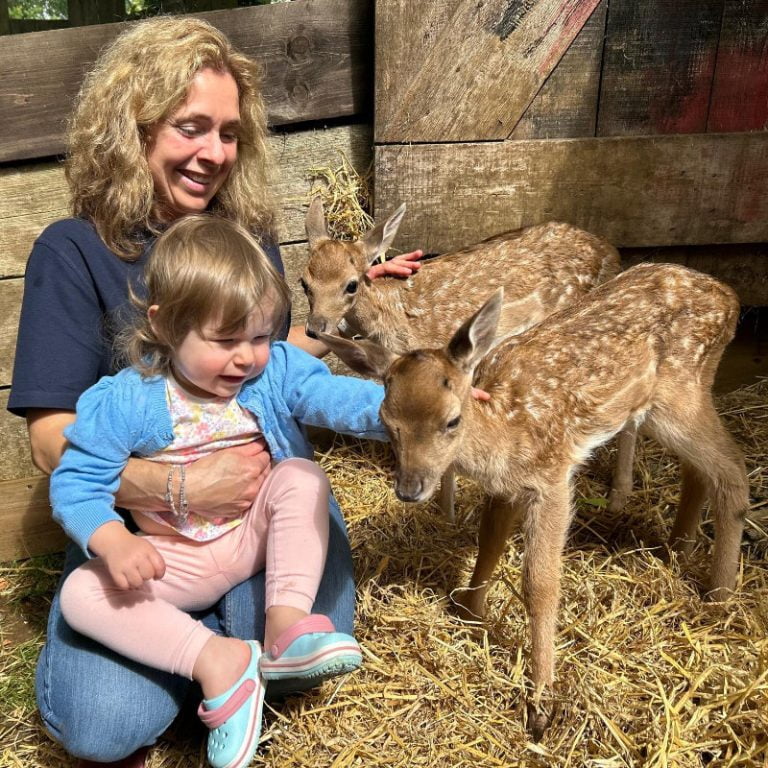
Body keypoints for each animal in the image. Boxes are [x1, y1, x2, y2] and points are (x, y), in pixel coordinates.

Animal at [300, 198, 638, 518]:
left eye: (351, 284)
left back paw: (618, 497)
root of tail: (611, 251)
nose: (315, 328)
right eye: (305, 283)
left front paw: (447, 515)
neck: (394, 319)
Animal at [319, 262, 749, 741]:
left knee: (733, 469)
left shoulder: (553, 477)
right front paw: (471, 612)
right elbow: (488, 543)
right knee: (701, 470)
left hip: (680, 392)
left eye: (452, 420)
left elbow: (540, 585)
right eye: (385, 419)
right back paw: (679, 548)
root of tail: (730, 298)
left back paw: (720, 595)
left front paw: (540, 701)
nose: (410, 488)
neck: (504, 433)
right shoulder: (507, 486)